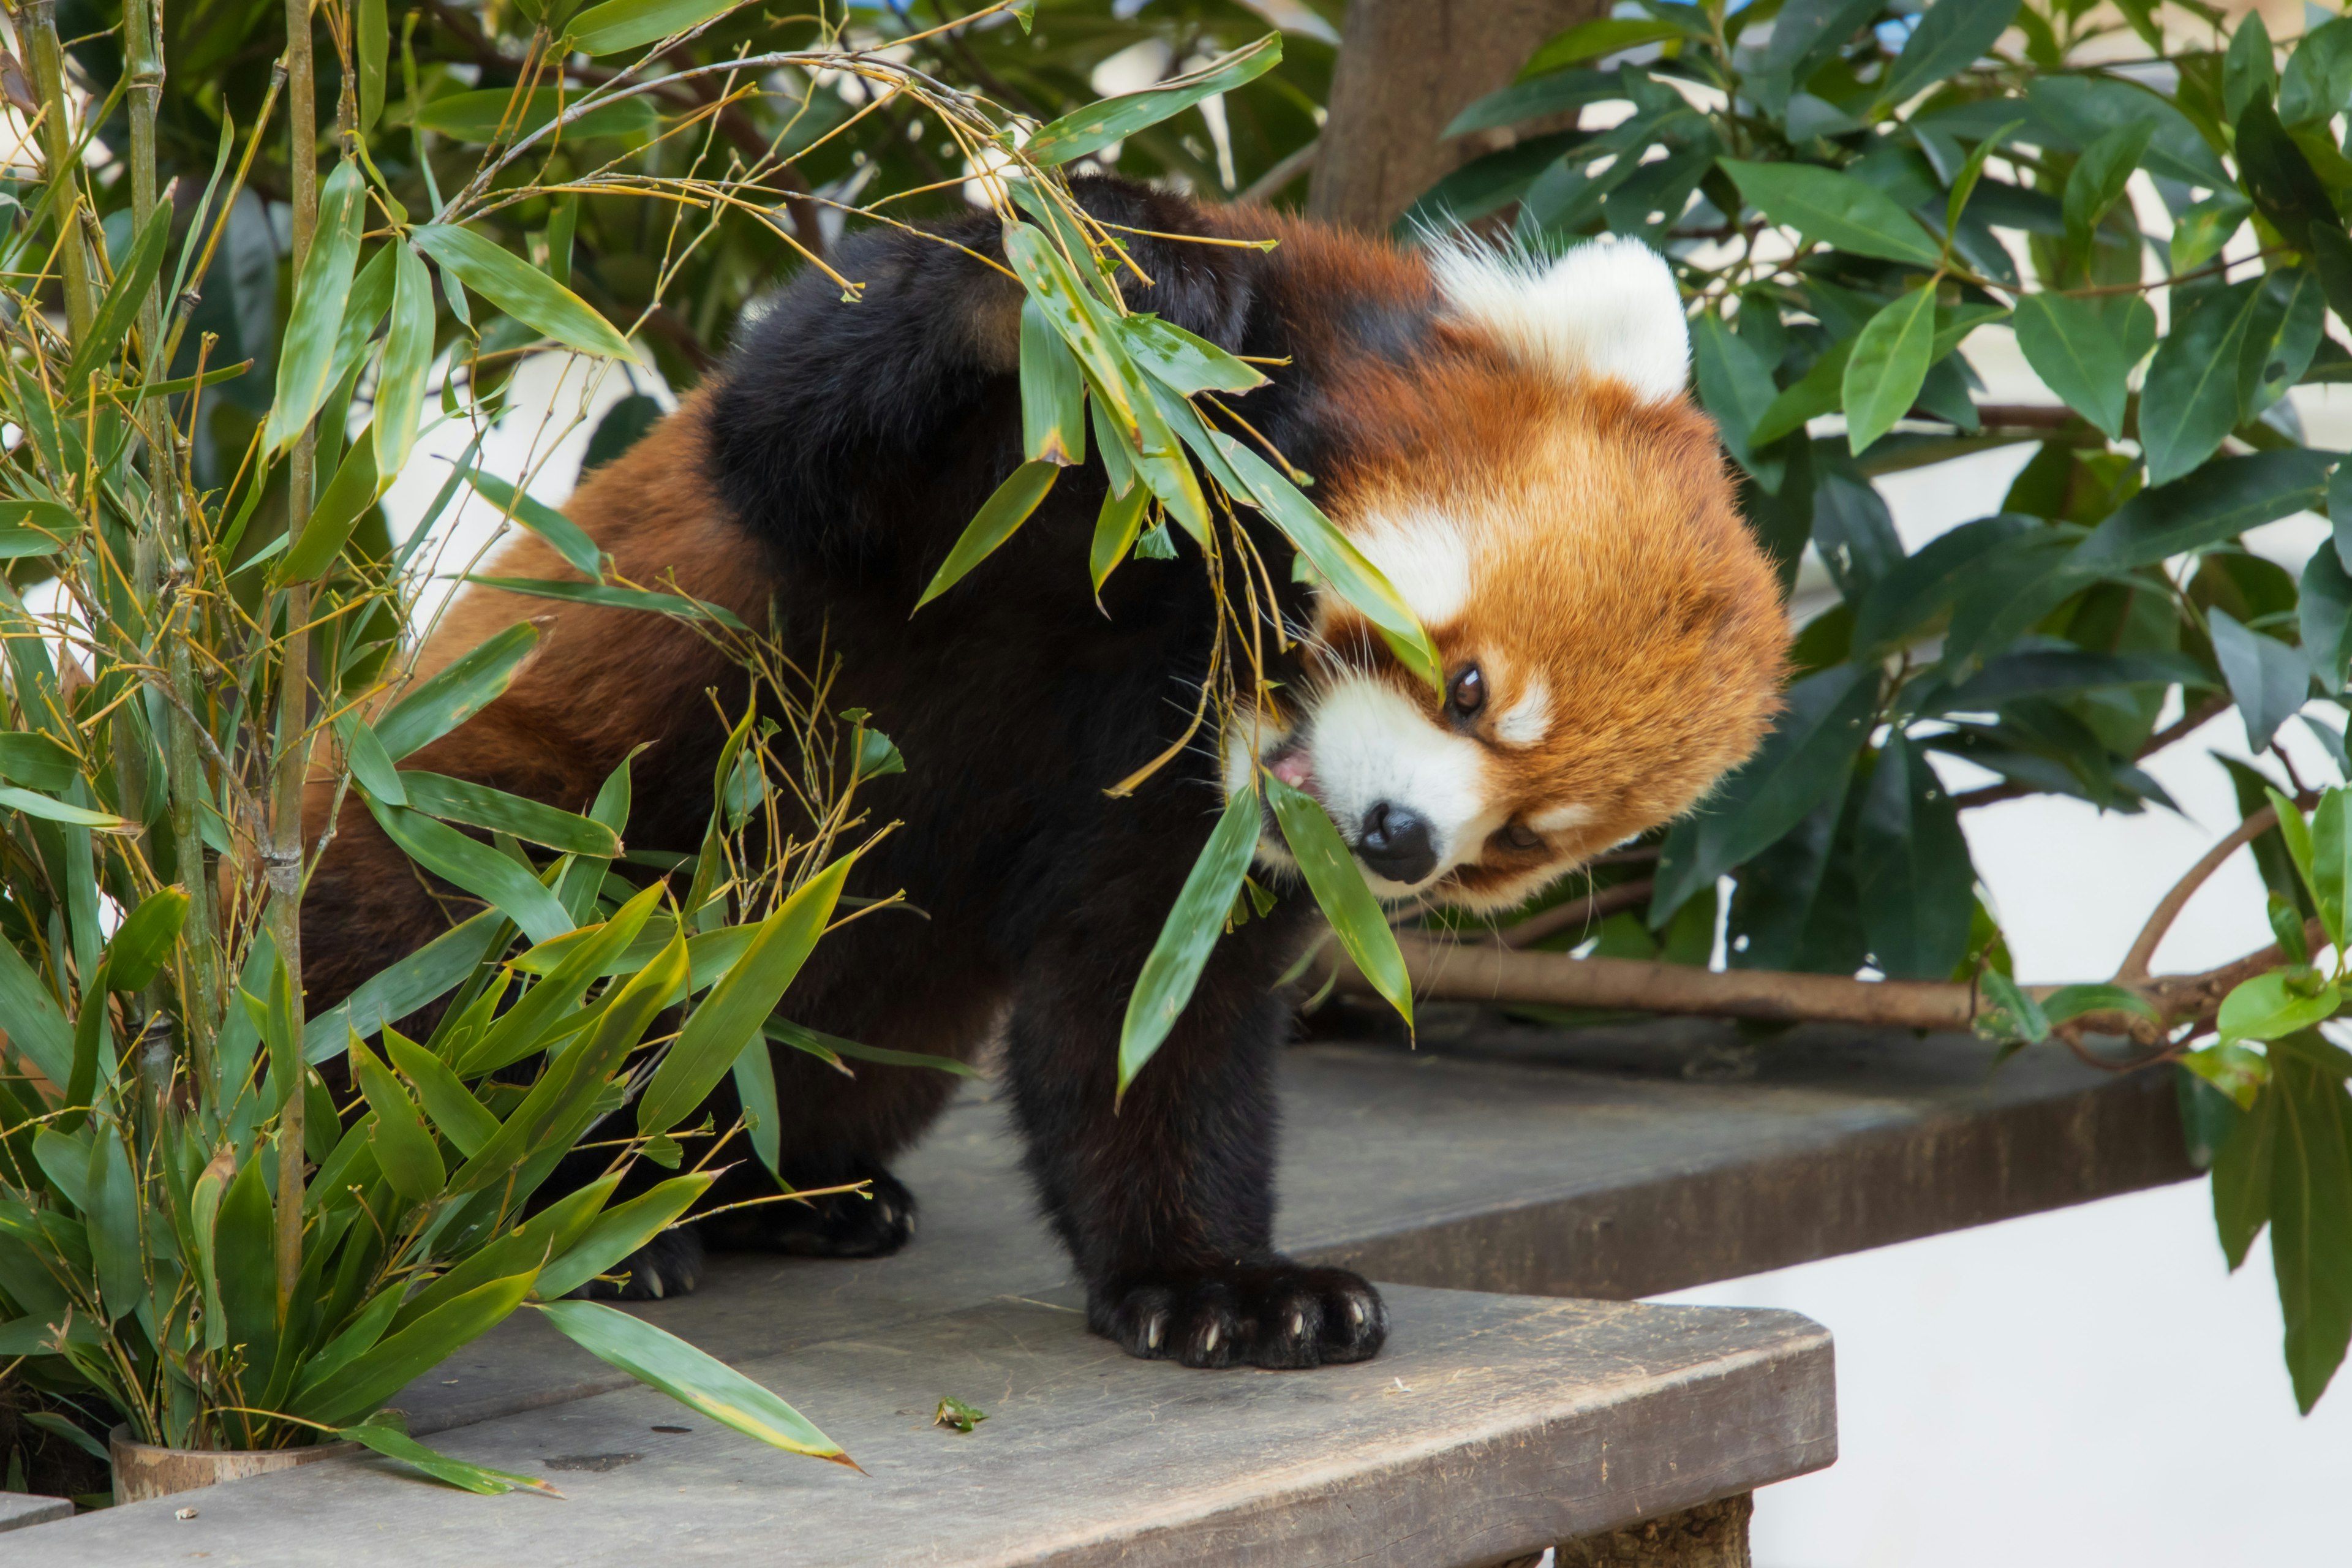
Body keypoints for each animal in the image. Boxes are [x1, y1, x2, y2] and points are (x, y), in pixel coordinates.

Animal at [308, 177, 1778, 1363]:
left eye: (1520, 841)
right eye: (1469, 689)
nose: (1400, 839)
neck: (1189, 646)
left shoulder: (1192, 826)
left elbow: (1145, 1008)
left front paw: (1218, 1283)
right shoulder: (990, 499)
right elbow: (800, 423)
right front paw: (1100, 276)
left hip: (864, 1020)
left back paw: (783, 1193)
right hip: (469, 832)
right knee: (437, 947)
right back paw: (553, 1207)